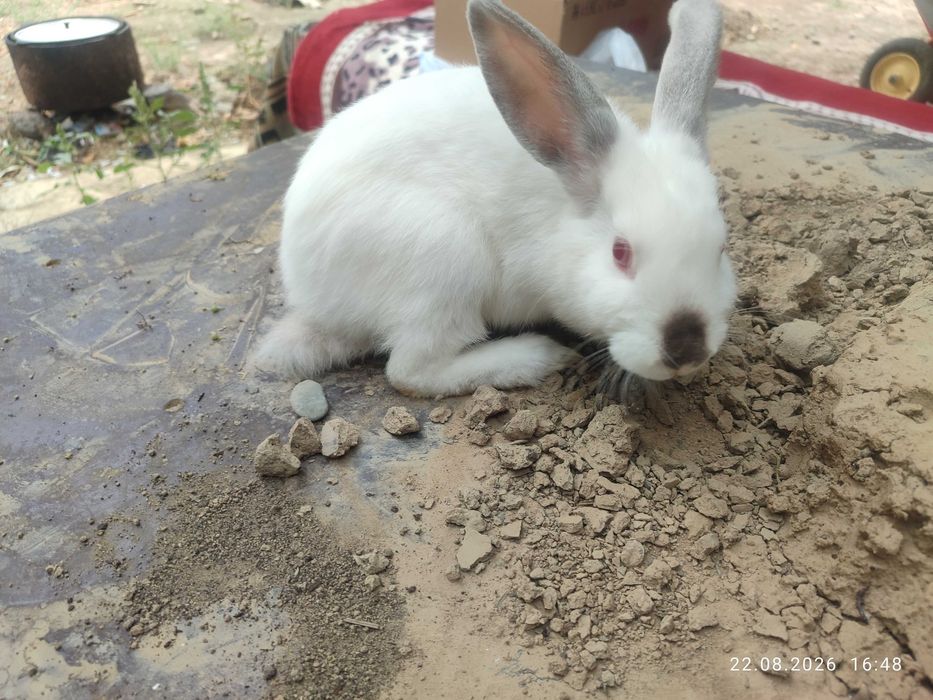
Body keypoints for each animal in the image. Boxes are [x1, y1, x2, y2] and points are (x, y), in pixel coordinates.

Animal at [255, 0, 735, 397]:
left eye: (720, 249)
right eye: (621, 253)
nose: (687, 350)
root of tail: (311, 297)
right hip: (444, 262)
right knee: (411, 372)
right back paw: (535, 356)